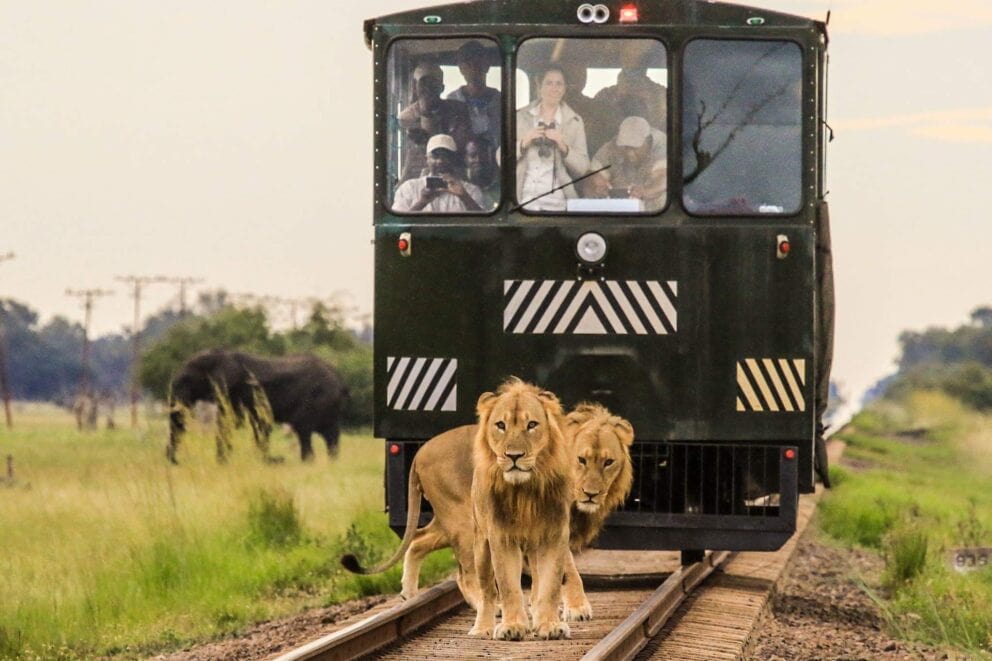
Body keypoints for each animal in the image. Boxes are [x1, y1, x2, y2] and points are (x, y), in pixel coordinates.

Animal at [167, 349, 349, 464]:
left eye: (187, 380)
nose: (175, 461)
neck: (218, 355)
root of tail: (340, 379)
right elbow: (256, 425)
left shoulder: (232, 389)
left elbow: (229, 422)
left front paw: (222, 463)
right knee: (330, 435)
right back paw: (330, 462)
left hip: (318, 399)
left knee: (304, 429)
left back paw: (307, 463)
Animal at [340, 402, 634, 623]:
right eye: (581, 460)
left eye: (608, 462)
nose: (591, 494)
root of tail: (421, 452)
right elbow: (568, 568)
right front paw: (576, 607)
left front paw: (540, 607)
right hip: (464, 521)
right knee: (465, 574)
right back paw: (490, 607)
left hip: (450, 521)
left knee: (418, 541)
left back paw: (408, 595)